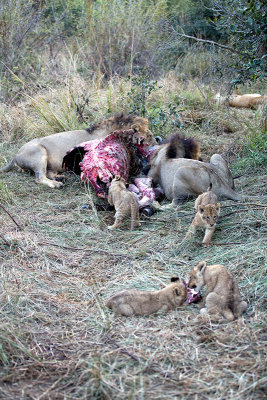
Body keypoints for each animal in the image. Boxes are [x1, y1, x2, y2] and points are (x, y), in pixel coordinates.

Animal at [0, 112, 157, 188]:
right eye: (149, 136)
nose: (158, 142)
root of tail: (16, 155)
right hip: (39, 152)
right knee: (39, 178)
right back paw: (57, 184)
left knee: (48, 173)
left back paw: (60, 177)